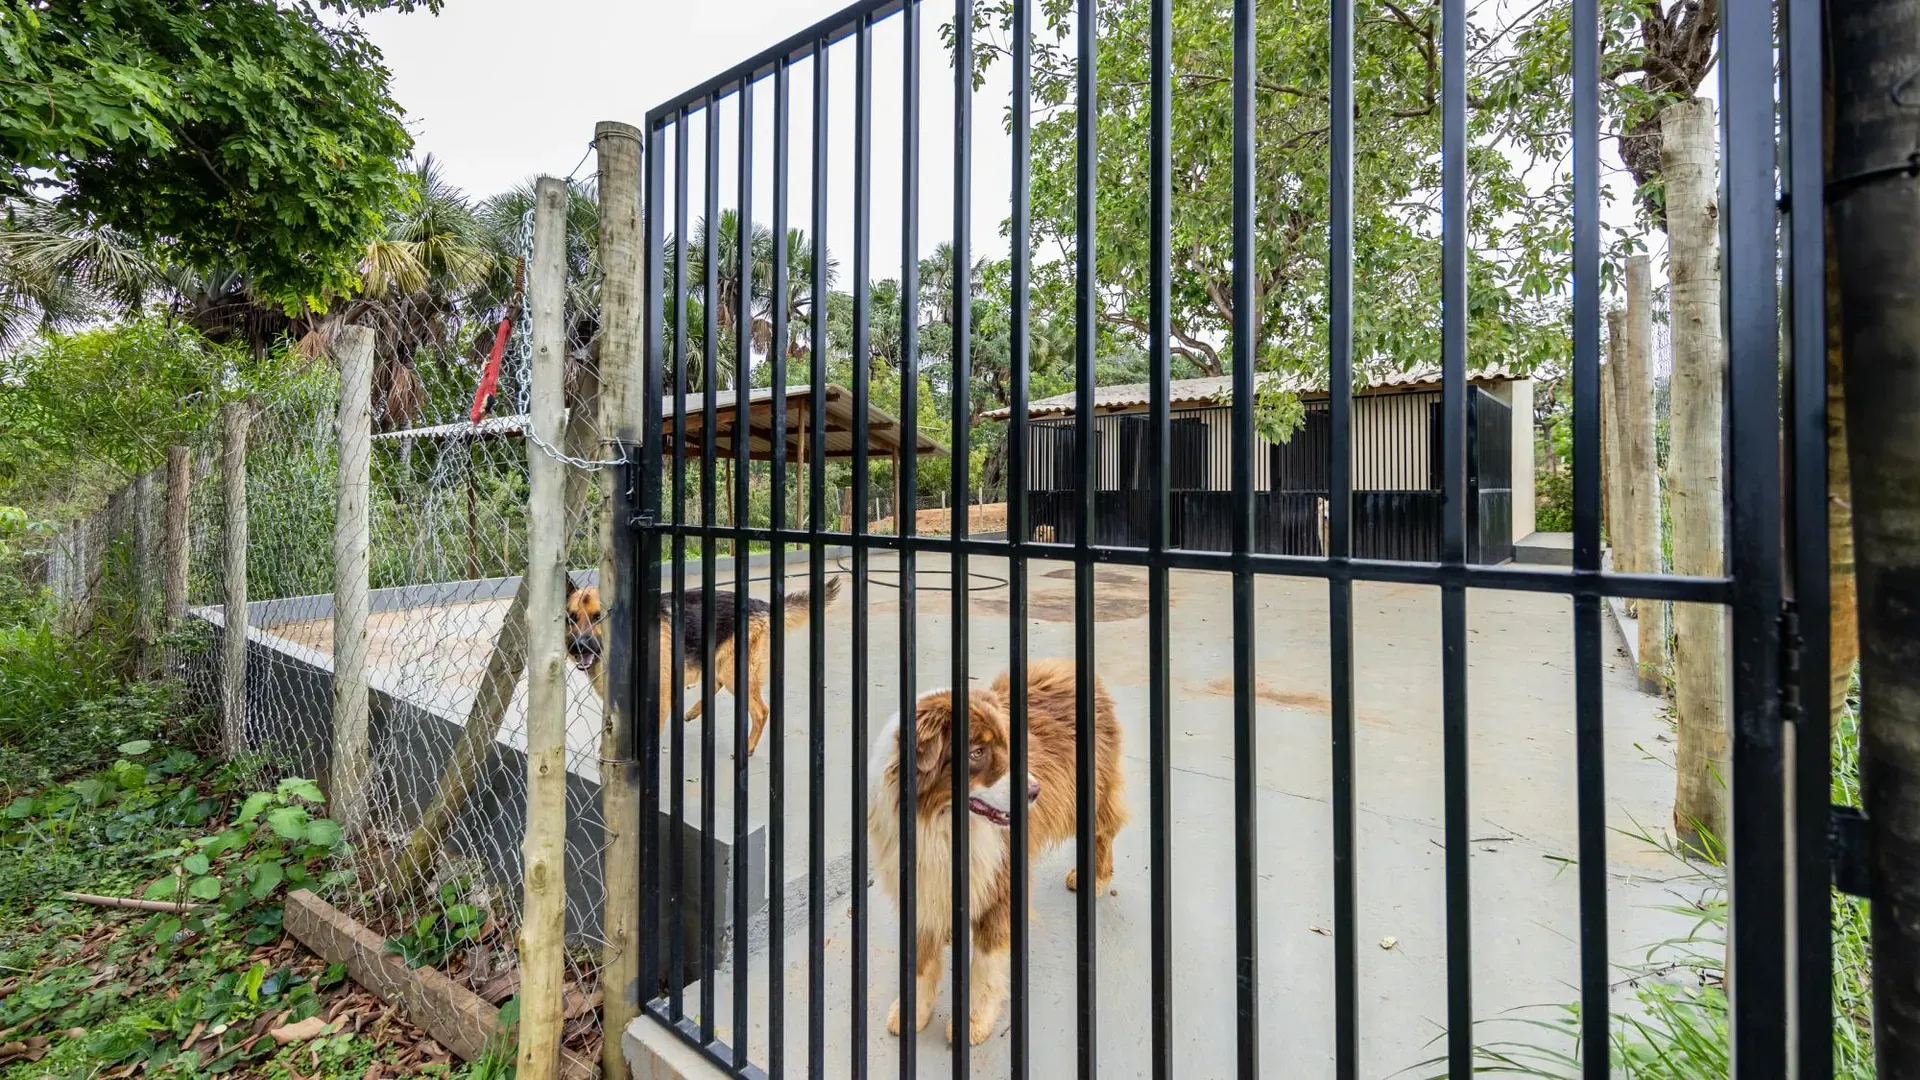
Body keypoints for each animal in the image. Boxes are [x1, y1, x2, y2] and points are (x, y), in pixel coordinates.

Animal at [564, 574, 842, 756]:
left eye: (598, 617)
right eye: (571, 618)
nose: (578, 647)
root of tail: (762, 604)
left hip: (734, 672)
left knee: (761, 711)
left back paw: (748, 747)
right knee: (715, 682)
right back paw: (694, 711)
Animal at [867, 657, 1128, 1046]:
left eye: (1007, 744)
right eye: (976, 752)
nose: (1035, 791)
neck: (943, 824)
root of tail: (1063, 664)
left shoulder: (1000, 887)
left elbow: (985, 966)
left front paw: (973, 1023)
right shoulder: (922, 887)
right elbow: (921, 962)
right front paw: (912, 1012)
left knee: (1104, 828)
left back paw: (1092, 877)